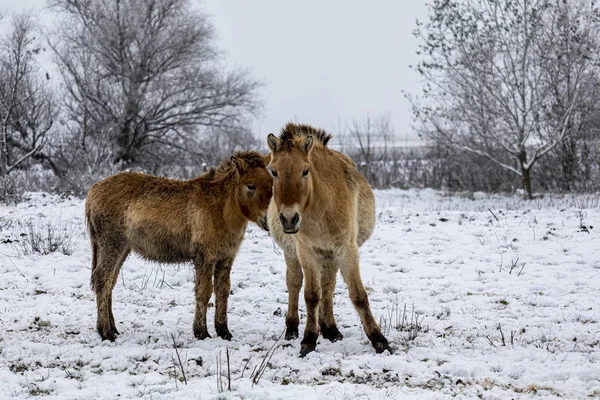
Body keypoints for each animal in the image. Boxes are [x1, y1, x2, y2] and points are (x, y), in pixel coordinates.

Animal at [84, 152, 272, 342]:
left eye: (271, 183)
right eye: (250, 186)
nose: (269, 221)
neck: (220, 208)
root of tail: (93, 190)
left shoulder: (226, 258)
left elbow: (223, 291)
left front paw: (223, 331)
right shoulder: (205, 257)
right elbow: (204, 292)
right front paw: (201, 332)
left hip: (121, 249)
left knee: (110, 282)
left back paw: (112, 328)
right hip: (112, 245)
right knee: (102, 279)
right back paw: (105, 332)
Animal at [264, 122, 392, 356]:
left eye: (305, 171)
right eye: (274, 171)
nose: (289, 219)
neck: (321, 207)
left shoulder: (346, 250)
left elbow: (358, 295)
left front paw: (379, 340)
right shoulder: (306, 251)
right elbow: (311, 295)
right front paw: (308, 339)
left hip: (330, 257)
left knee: (328, 286)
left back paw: (330, 328)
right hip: (293, 254)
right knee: (294, 283)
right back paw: (293, 328)